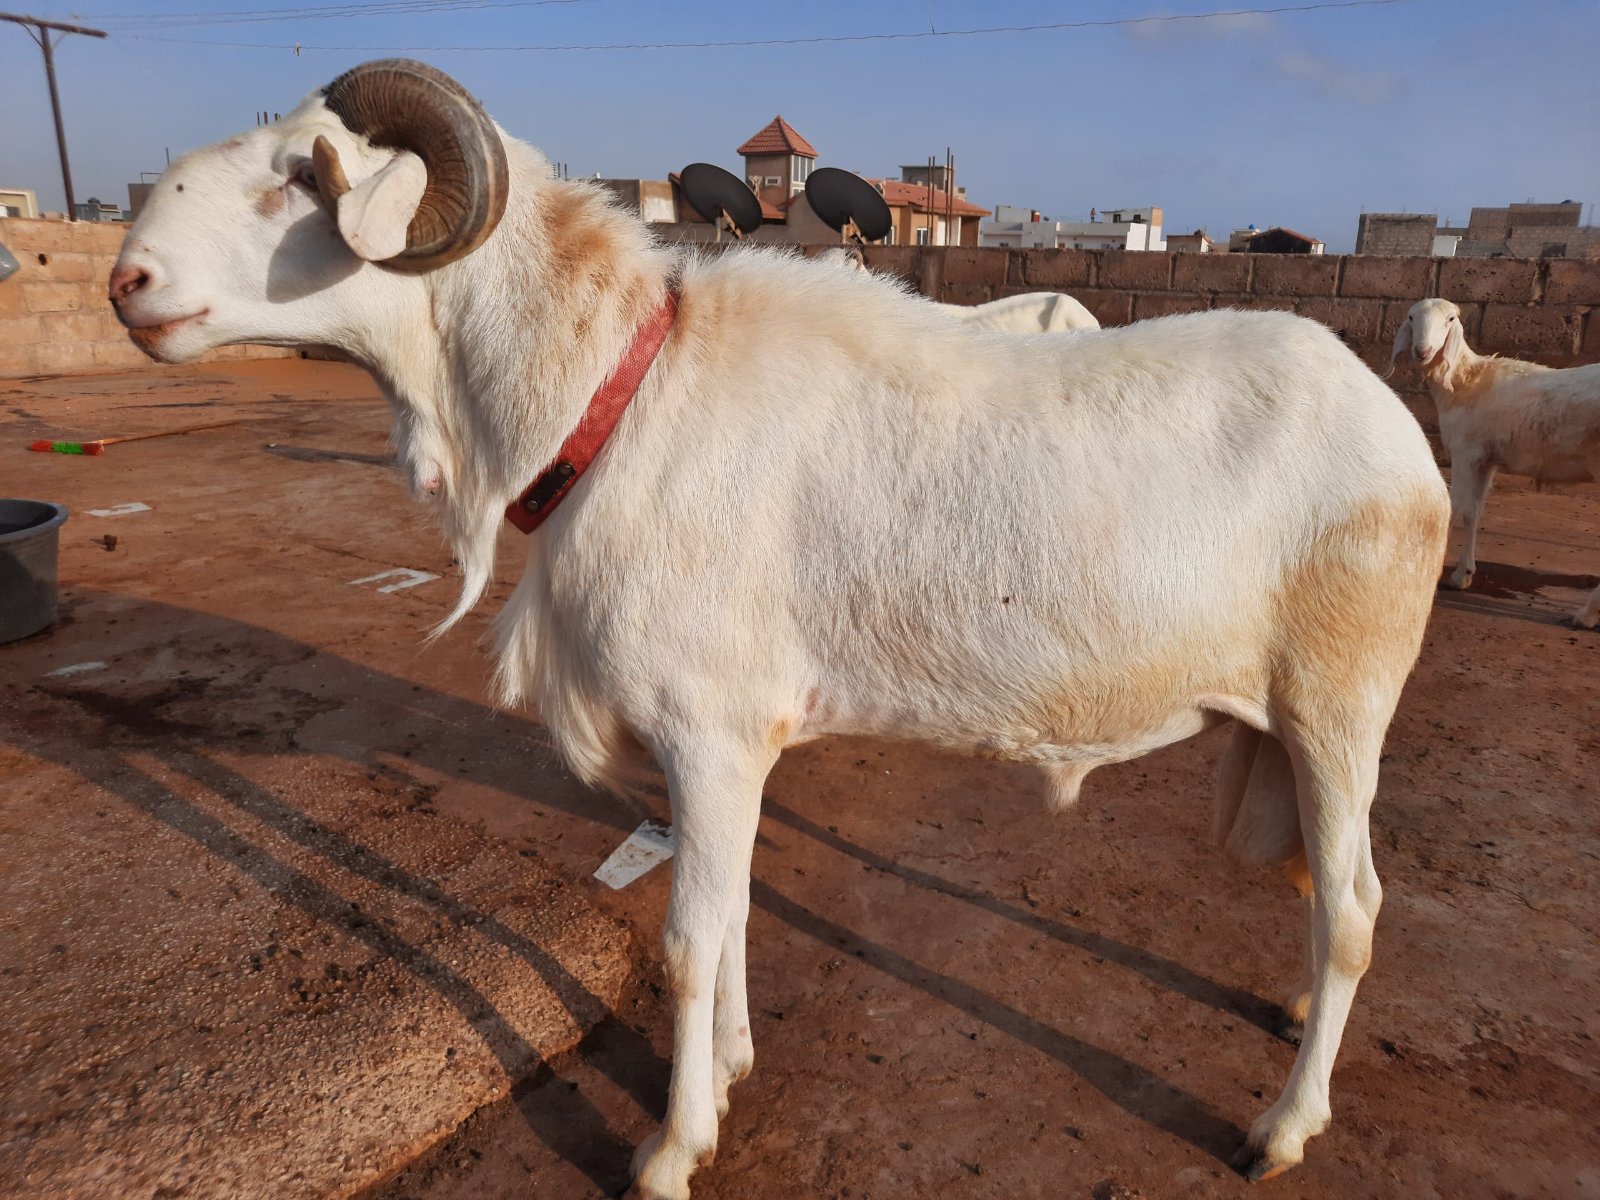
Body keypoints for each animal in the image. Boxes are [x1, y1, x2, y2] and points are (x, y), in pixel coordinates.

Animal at [1393, 297, 1600, 628]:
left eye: (1451, 319)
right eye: (1411, 317)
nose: (1422, 351)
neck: (1466, 382)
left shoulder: (1465, 452)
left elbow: (1454, 508)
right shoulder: (1485, 458)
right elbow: (1473, 513)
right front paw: (1462, 575)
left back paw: (1586, 615)